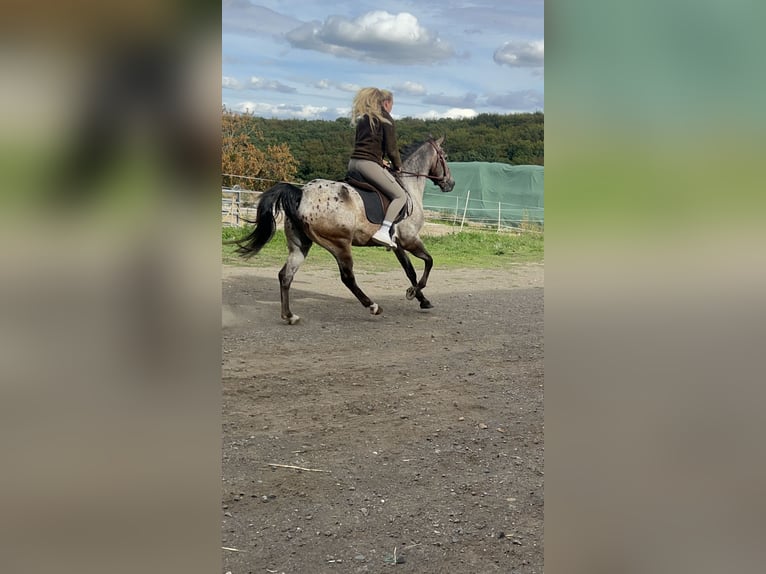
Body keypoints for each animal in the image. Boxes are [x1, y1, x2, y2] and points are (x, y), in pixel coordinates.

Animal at [234, 136, 455, 324]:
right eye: (444, 157)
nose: (451, 184)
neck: (408, 187)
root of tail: (301, 193)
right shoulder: (410, 239)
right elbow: (429, 262)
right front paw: (413, 293)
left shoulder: (398, 245)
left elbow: (410, 271)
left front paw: (422, 299)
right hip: (340, 244)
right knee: (347, 277)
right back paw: (373, 306)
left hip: (300, 246)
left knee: (285, 275)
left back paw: (289, 316)